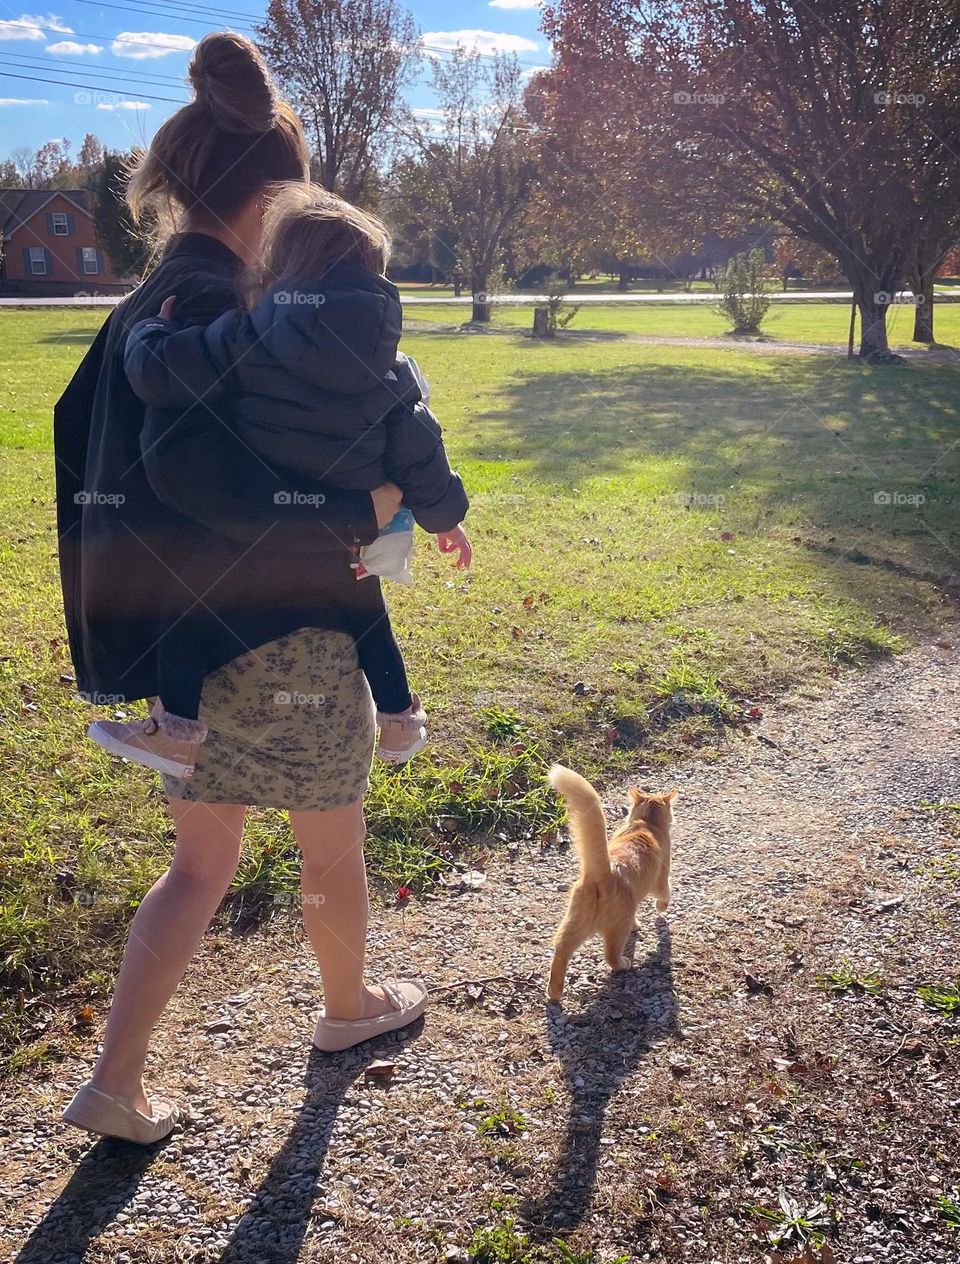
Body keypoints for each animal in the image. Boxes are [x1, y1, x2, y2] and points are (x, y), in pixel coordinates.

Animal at [548, 763, 677, 1001]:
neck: (646, 825)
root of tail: (603, 873)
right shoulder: (662, 878)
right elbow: (665, 895)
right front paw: (660, 909)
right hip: (617, 928)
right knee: (610, 956)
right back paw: (625, 964)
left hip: (574, 923)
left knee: (561, 950)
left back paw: (554, 992)